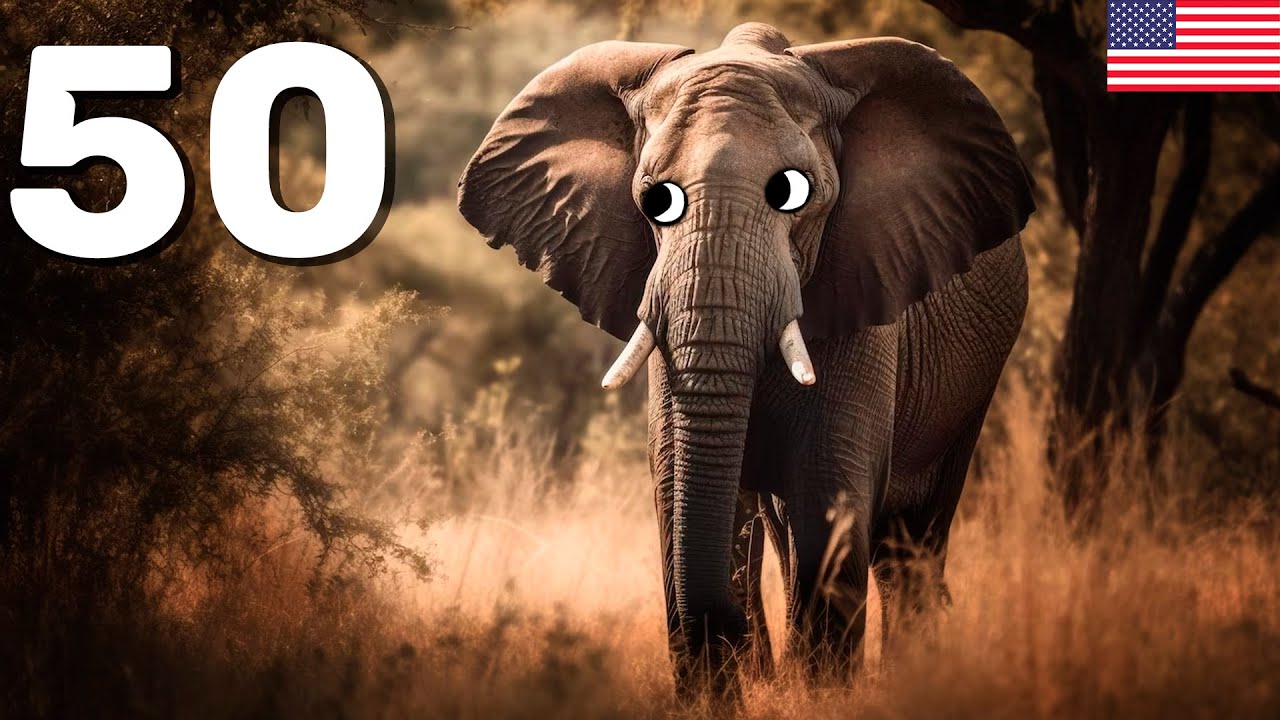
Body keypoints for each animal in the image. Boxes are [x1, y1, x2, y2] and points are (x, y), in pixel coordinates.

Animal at [457, 22, 1033, 696]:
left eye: (793, 194)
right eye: (655, 201)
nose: (728, 626)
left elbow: (828, 490)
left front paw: (819, 695)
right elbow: (678, 488)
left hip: (976, 383)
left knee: (910, 540)